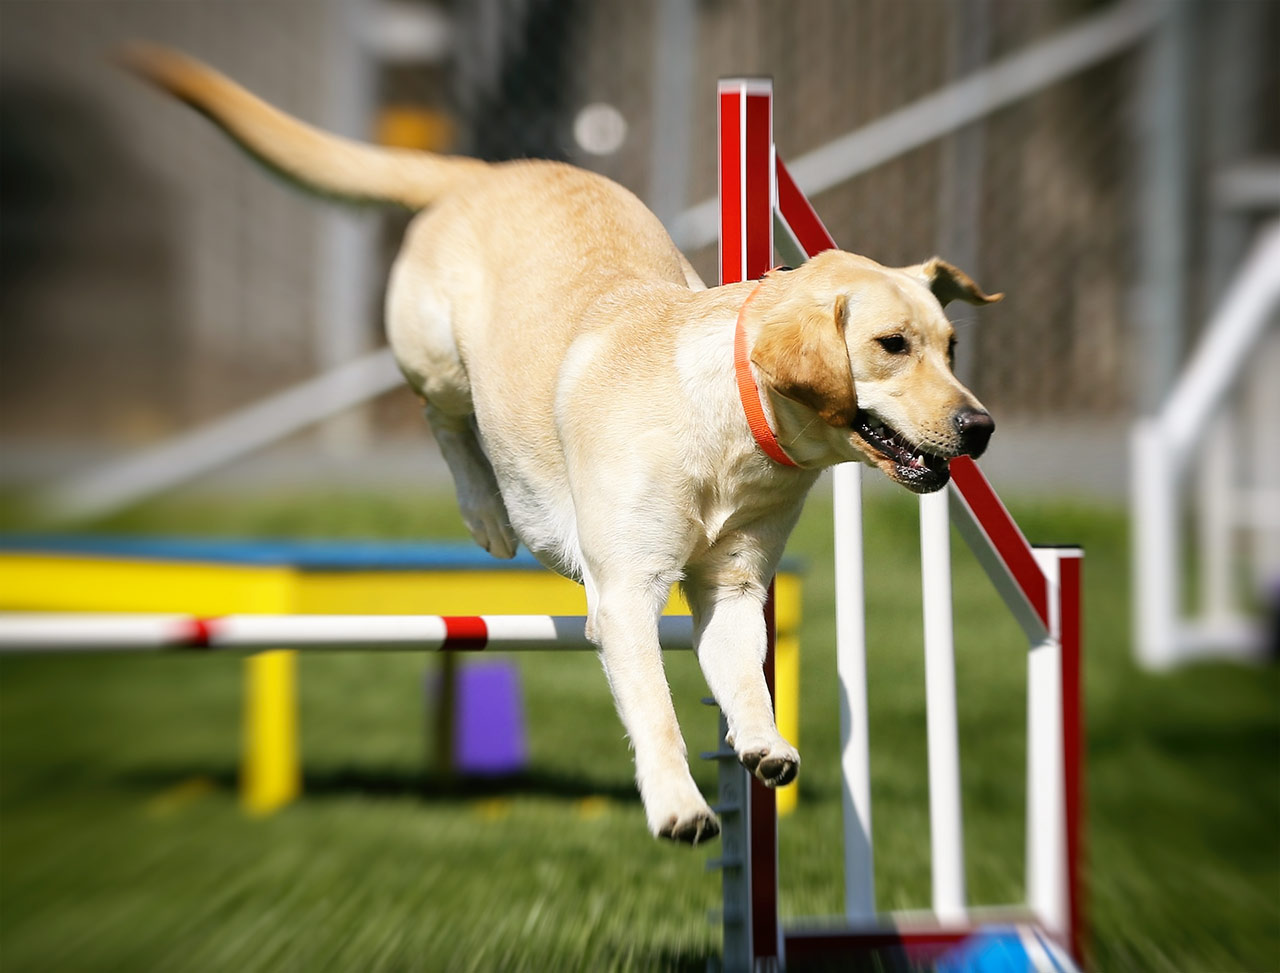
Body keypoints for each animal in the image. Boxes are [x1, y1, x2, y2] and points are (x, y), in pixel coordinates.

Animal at [124, 47, 998, 844]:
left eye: (952, 347)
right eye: (891, 345)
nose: (980, 427)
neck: (730, 427)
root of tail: (481, 172)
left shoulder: (735, 588)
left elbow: (748, 680)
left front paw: (763, 743)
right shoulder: (625, 594)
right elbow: (658, 710)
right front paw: (680, 806)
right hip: (437, 357)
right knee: (445, 420)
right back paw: (486, 513)